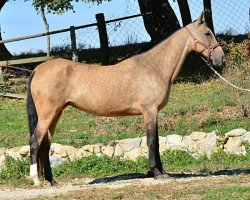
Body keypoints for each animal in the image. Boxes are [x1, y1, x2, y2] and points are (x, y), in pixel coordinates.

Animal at [26, 13, 225, 186]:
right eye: (207, 33)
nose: (221, 58)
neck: (154, 67)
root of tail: (37, 70)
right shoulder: (150, 111)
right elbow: (152, 141)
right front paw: (156, 172)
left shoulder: (154, 112)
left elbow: (156, 142)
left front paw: (159, 172)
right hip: (48, 114)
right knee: (35, 140)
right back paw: (36, 180)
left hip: (56, 114)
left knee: (46, 144)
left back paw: (51, 180)